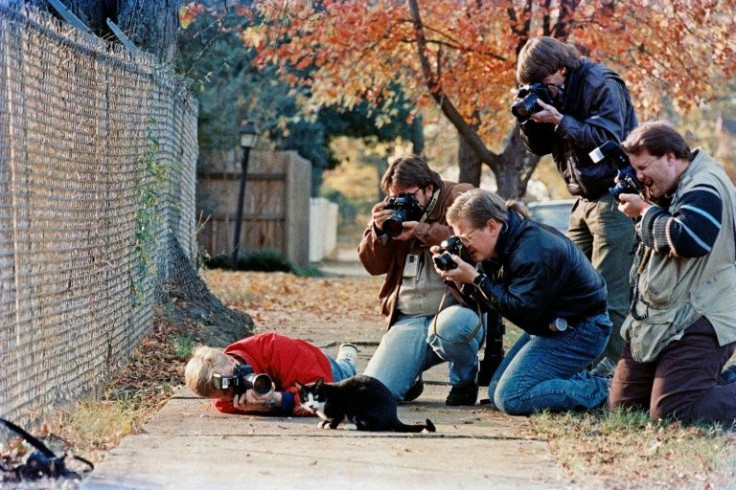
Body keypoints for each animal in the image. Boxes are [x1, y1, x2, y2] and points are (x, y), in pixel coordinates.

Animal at [296, 376, 436, 432]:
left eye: (316, 397)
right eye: (305, 398)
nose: (311, 406)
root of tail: (393, 416)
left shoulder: (339, 406)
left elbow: (337, 417)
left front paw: (330, 425)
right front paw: (324, 422)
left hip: (358, 402)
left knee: (373, 427)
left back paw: (351, 426)